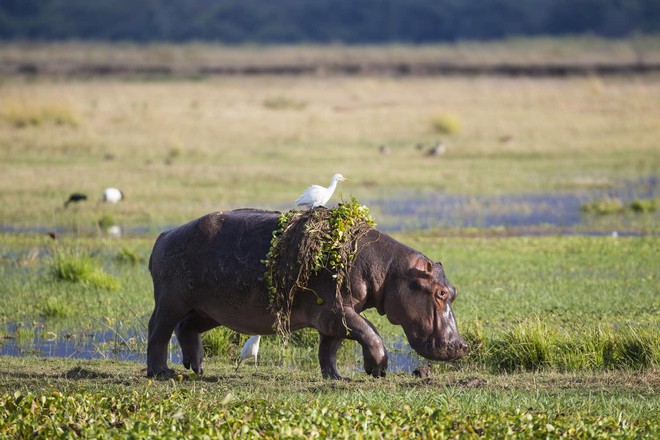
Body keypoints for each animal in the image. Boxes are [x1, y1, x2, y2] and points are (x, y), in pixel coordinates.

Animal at [148, 209, 470, 378]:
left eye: (453, 292)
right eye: (440, 293)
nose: (462, 346)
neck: (390, 268)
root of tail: (164, 235)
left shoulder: (336, 315)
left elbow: (330, 346)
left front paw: (337, 377)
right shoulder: (336, 309)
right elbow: (370, 332)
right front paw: (376, 370)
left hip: (210, 309)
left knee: (186, 327)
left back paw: (198, 368)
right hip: (171, 301)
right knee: (158, 330)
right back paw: (163, 373)